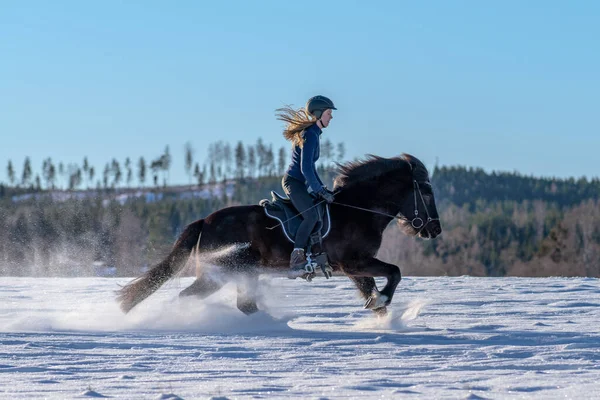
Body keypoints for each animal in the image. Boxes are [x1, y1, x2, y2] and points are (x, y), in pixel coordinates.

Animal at [117, 153, 442, 316]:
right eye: (426, 190)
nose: (434, 229)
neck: (357, 209)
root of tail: (205, 221)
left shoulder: (353, 268)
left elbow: (374, 292)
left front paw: (382, 318)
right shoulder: (354, 262)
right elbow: (395, 273)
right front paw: (383, 302)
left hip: (242, 272)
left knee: (243, 305)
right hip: (223, 271)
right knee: (191, 297)